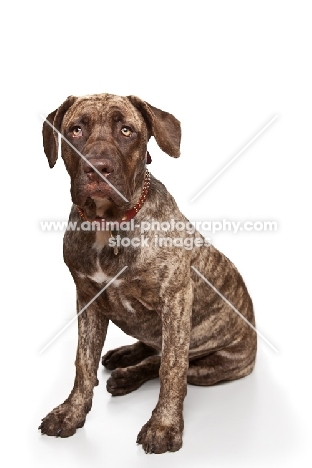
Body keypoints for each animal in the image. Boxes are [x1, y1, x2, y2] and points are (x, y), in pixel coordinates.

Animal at [39, 93, 258, 456]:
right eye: (76, 130)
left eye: (127, 130)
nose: (97, 167)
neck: (110, 226)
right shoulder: (88, 300)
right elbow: (83, 363)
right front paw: (71, 412)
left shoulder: (176, 302)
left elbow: (171, 368)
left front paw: (163, 426)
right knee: (151, 348)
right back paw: (124, 357)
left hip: (217, 364)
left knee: (170, 362)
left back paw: (128, 374)